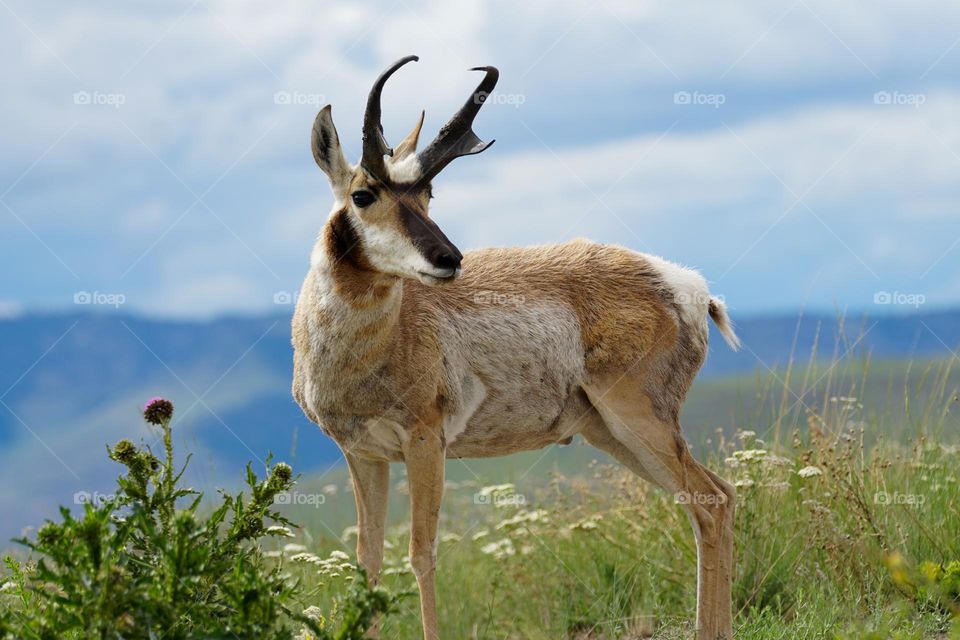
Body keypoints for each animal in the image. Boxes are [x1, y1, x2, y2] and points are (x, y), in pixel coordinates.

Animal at [292, 55, 739, 640]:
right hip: (611, 434)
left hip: (641, 420)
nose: (449, 258)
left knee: (711, 502)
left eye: (428, 195)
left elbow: (421, 554)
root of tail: (688, 285)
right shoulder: (363, 453)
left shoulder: (424, 440)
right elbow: (368, 562)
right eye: (363, 195)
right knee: (718, 497)